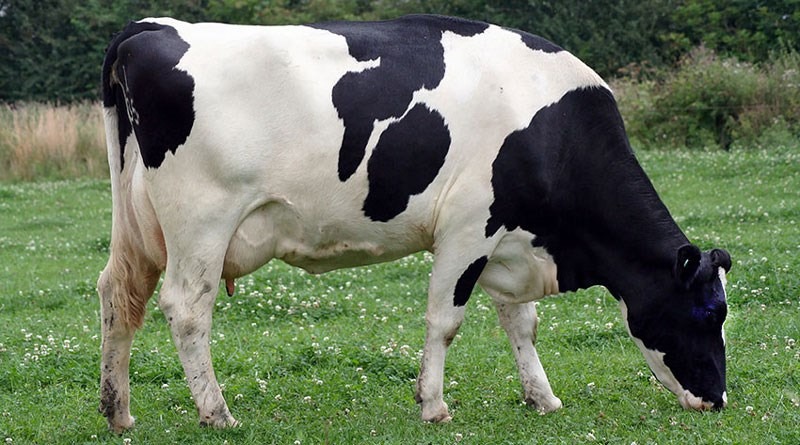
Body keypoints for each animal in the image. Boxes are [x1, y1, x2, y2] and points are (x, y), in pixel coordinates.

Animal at [97, 14, 732, 432]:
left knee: (117, 294)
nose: (719, 398)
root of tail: (150, 27)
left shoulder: (511, 237)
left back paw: (117, 411)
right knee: (186, 307)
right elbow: (445, 321)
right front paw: (432, 405)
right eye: (709, 313)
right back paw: (217, 413)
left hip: (137, 225)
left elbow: (522, 323)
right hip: (201, 222)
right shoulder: (469, 228)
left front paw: (542, 398)